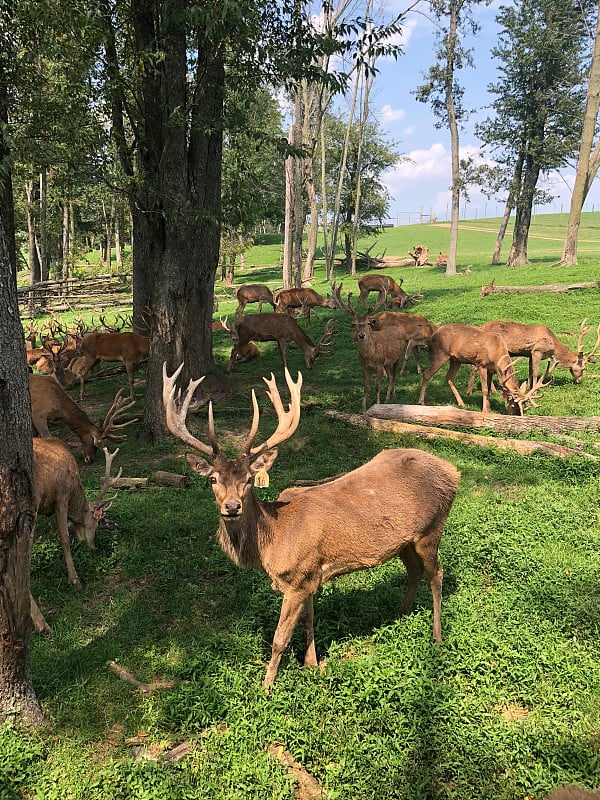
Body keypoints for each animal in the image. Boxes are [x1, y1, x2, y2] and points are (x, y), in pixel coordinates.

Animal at [163, 366, 460, 684]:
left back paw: (437, 637)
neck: (271, 543)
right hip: (405, 541)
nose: (232, 507)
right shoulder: (309, 576)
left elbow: (279, 638)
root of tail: (454, 471)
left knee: (436, 574)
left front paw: (266, 686)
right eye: (213, 479)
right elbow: (309, 618)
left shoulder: (296, 578)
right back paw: (400, 613)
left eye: (249, 479)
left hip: (432, 528)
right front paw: (311, 662)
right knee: (414, 571)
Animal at [330, 282, 410, 412]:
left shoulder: (379, 365)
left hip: (397, 357)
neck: (369, 355)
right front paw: (362, 409)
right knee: (390, 376)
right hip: (387, 363)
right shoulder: (364, 367)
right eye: (354, 324)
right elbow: (366, 387)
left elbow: (377, 386)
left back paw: (393, 395)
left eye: (368, 323)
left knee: (394, 374)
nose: (361, 335)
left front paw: (376, 405)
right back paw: (387, 399)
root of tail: (399, 329)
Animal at [418, 322, 548, 416]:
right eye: (513, 404)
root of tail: (433, 336)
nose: (517, 416)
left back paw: (462, 404)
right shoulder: (481, 364)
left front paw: (489, 408)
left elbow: (489, 389)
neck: (496, 352)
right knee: (426, 374)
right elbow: (485, 389)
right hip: (441, 354)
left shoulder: (491, 369)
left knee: (449, 377)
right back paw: (421, 402)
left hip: (455, 360)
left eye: (525, 406)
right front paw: (484, 410)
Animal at [464, 318, 600, 394]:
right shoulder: (537, 351)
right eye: (583, 368)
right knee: (474, 368)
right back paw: (470, 391)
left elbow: (530, 370)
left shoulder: (529, 353)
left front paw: (528, 386)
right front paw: (535, 389)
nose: (580, 380)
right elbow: (535, 371)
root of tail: (481, 327)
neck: (552, 347)